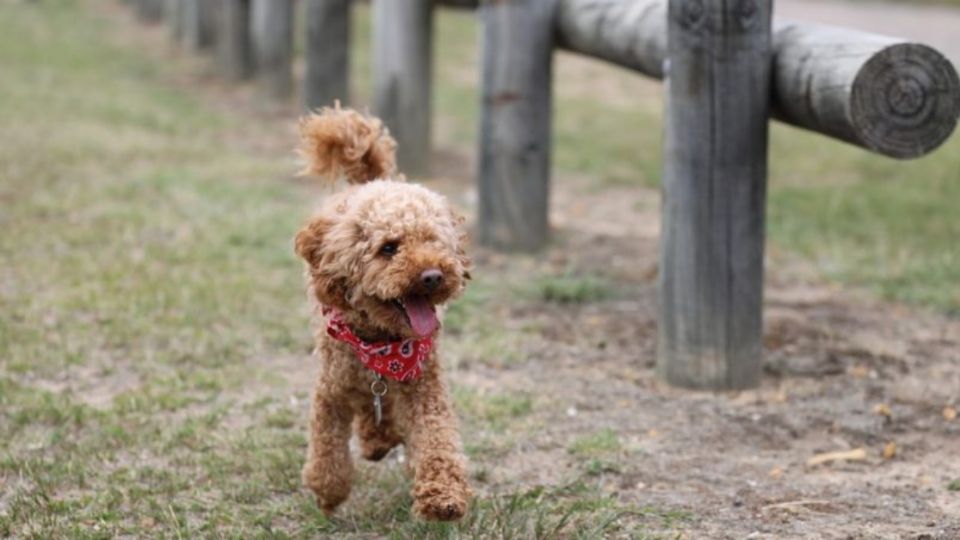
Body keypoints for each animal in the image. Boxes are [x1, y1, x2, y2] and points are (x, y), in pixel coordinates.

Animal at [294, 103, 470, 520]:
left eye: (434, 241)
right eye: (389, 248)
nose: (433, 275)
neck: (382, 342)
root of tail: (369, 184)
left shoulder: (425, 386)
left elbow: (438, 437)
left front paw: (443, 497)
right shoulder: (331, 390)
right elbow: (327, 450)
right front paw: (328, 492)